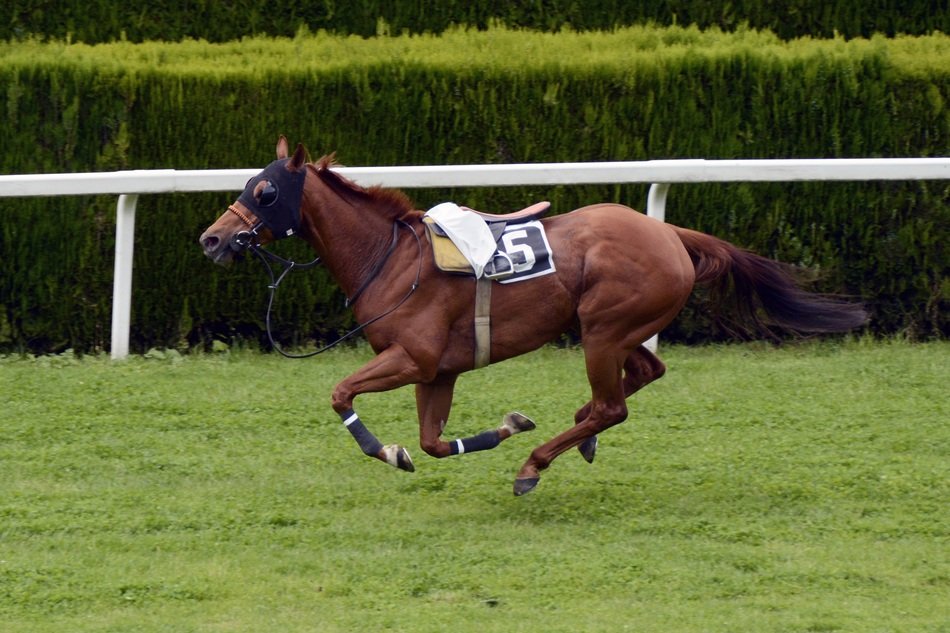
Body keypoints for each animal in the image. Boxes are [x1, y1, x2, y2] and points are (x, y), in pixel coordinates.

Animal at [199, 137, 867, 495]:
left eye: (264, 191)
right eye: (250, 182)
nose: (212, 239)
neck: (391, 258)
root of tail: (669, 232)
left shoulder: (411, 356)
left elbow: (342, 394)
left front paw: (386, 450)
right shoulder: (438, 370)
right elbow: (433, 442)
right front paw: (502, 426)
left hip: (604, 328)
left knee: (613, 405)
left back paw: (536, 465)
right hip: (613, 328)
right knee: (643, 376)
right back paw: (576, 436)